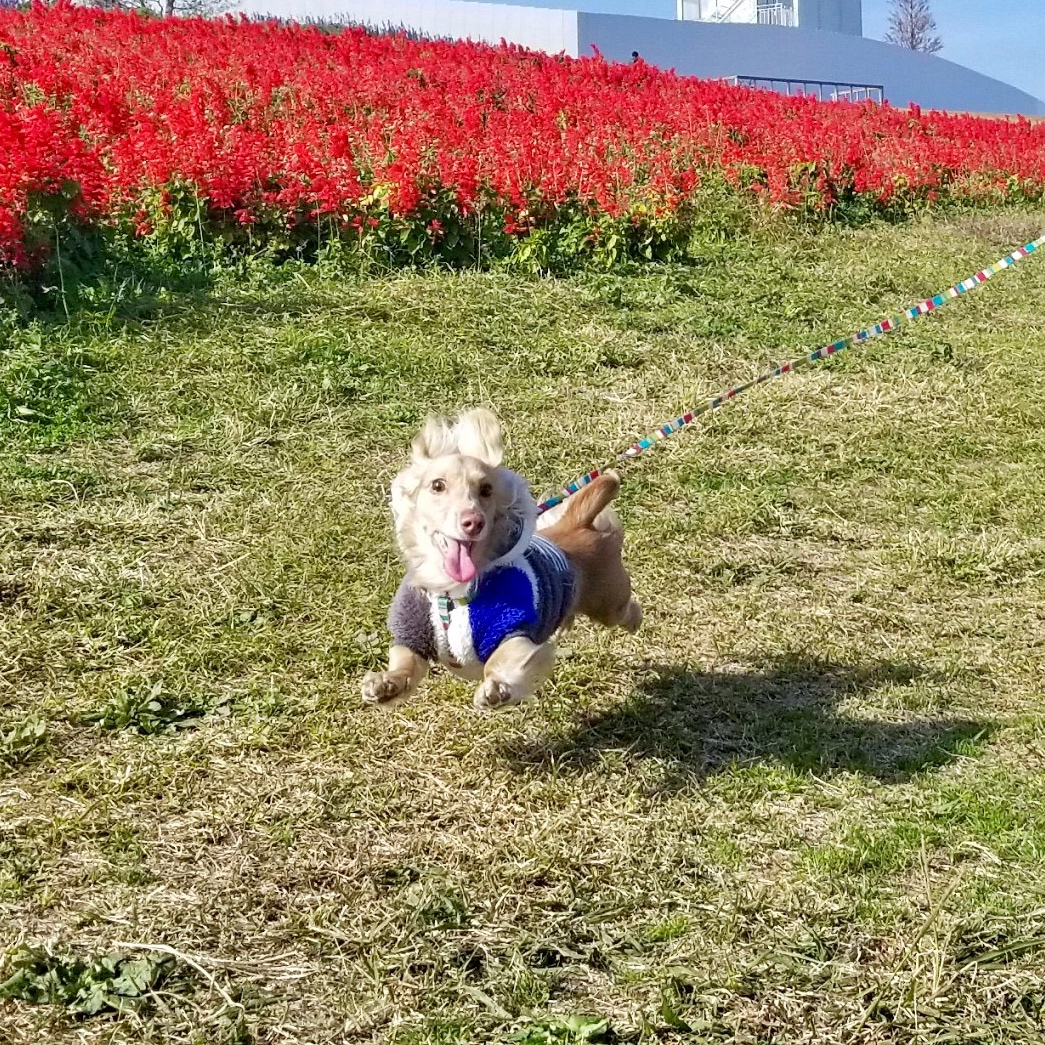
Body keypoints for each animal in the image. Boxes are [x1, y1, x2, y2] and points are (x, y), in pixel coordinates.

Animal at [361, 407, 643, 710]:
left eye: (486, 489)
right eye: (437, 485)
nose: (473, 521)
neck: (452, 592)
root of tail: (577, 525)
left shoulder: (513, 626)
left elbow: (501, 660)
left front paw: (496, 689)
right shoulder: (415, 634)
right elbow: (405, 663)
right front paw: (384, 685)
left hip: (609, 604)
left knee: (628, 610)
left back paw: (634, 620)